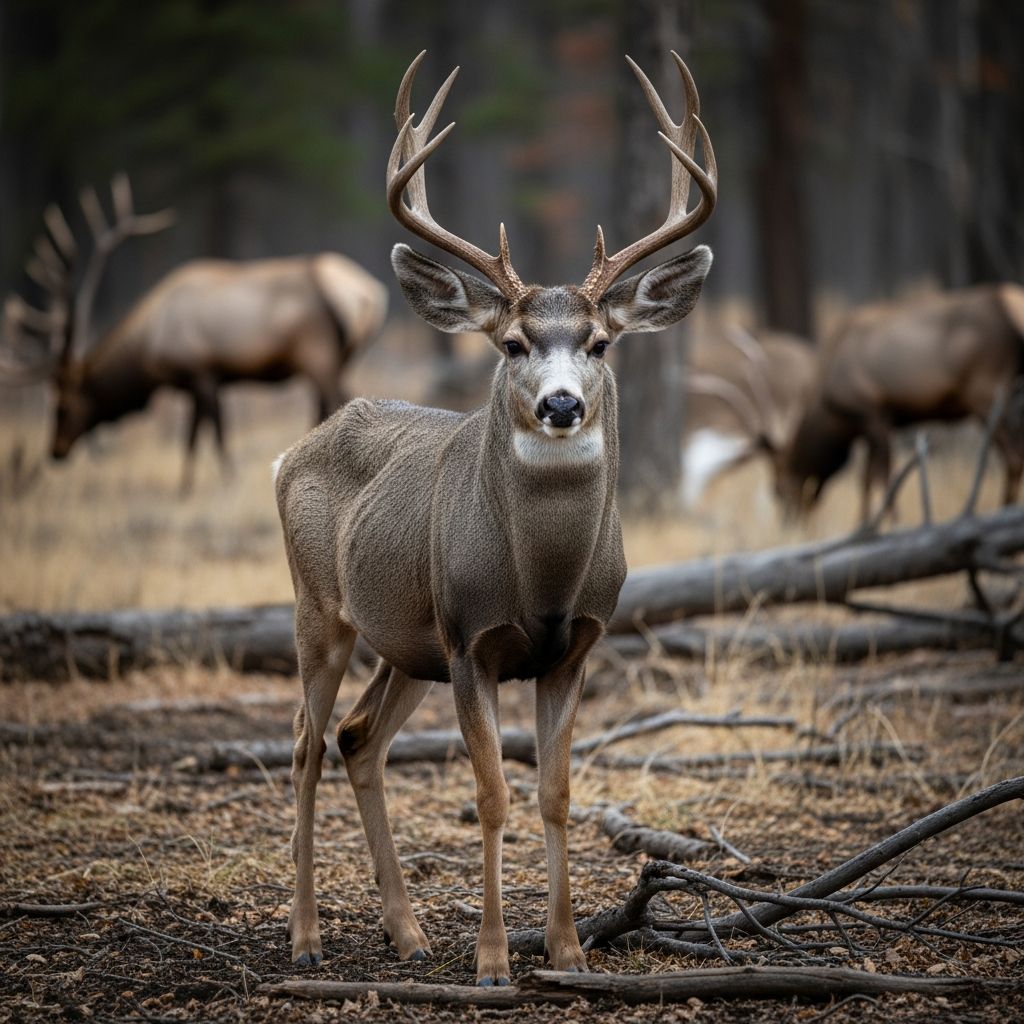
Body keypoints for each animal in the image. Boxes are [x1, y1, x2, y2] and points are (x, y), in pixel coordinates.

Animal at [1, 174, 388, 491]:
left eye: (62, 406)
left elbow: (212, 431)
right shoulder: (197, 382)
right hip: (336, 357)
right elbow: (193, 434)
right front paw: (185, 486)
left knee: (340, 398)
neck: (147, 347)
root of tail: (367, 294)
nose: (55, 451)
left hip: (317, 353)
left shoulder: (201, 371)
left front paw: (221, 481)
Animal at [272, 49, 716, 984]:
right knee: (303, 744)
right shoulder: (471, 639)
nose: (560, 404)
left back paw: (407, 933)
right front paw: (490, 959)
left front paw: (568, 949)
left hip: (408, 639)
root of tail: (292, 450)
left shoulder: (574, 646)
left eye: (601, 342)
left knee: (358, 738)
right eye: (512, 343)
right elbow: (489, 793)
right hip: (320, 608)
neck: (540, 580)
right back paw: (305, 937)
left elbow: (555, 792)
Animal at [691, 287, 1024, 522]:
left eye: (778, 489)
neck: (830, 415)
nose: (791, 522)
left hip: (987, 395)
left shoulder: (873, 414)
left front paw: (888, 524)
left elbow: (881, 478)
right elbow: (867, 480)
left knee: (1013, 458)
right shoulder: (873, 425)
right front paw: (864, 525)